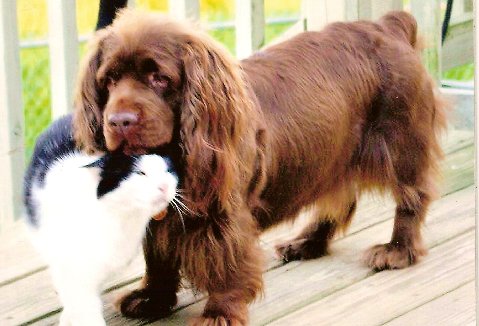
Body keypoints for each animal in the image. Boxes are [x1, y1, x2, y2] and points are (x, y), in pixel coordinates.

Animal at [24, 115, 178, 326]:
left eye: (168, 171)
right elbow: (82, 302)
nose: (164, 186)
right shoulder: (74, 266)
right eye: (141, 173)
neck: (120, 218)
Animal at [73, 8, 448, 324]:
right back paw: (307, 242)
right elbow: (157, 254)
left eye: (159, 79)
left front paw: (219, 313)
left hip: (401, 142)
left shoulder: (224, 215)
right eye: (109, 80)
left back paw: (397, 251)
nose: (118, 122)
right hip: (333, 152)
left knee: (411, 198)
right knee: (341, 199)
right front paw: (152, 297)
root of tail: (388, 25)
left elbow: (228, 263)